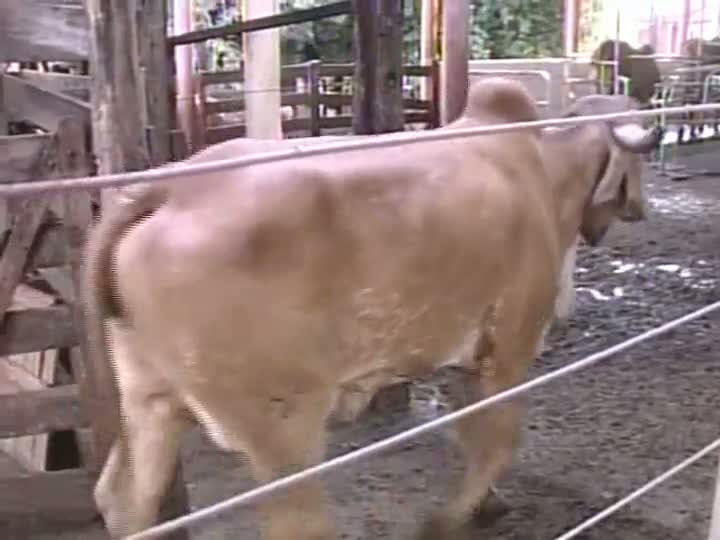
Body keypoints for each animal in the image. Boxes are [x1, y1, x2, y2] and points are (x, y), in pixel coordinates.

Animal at [83, 77, 660, 540]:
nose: (640, 206)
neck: (543, 172)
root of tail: (167, 188)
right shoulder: (510, 346)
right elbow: (496, 441)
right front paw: (447, 521)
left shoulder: (462, 359)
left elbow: (471, 435)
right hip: (284, 426)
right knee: (300, 524)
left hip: (149, 399)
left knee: (122, 499)